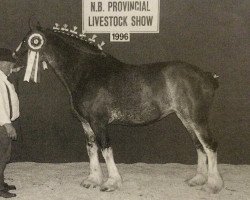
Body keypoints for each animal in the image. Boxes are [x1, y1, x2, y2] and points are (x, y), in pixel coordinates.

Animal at [13, 23, 224, 194]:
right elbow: (91, 149)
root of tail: (207, 76)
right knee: (199, 146)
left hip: (197, 118)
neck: (86, 71)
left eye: (27, 40)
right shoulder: (86, 124)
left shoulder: (99, 122)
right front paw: (93, 180)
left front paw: (111, 183)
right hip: (186, 118)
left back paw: (212, 185)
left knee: (210, 146)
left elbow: (105, 149)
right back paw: (198, 179)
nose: (14, 58)